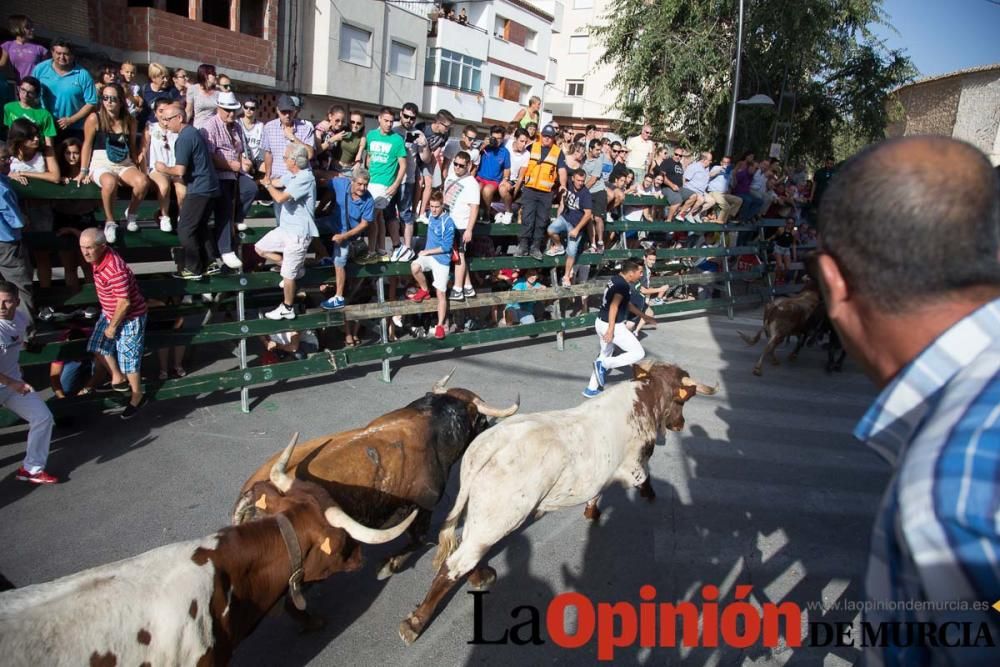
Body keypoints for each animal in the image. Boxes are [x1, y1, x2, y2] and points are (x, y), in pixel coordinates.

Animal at [232, 370, 516, 584]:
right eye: (480, 419)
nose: (487, 427)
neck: (432, 421)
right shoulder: (423, 506)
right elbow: (417, 539)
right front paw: (390, 565)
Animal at [394, 362, 716, 644]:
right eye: (682, 401)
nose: (680, 424)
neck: (643, 400)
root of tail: (488, 445)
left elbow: (598, 492)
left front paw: (592, 510)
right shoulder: (634, 466)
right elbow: (645, 480)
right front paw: (649, 497)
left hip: (482, 514)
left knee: (464, 548)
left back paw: (480, 576)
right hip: (499, 517)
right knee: (457, 561)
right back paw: (415, 623)